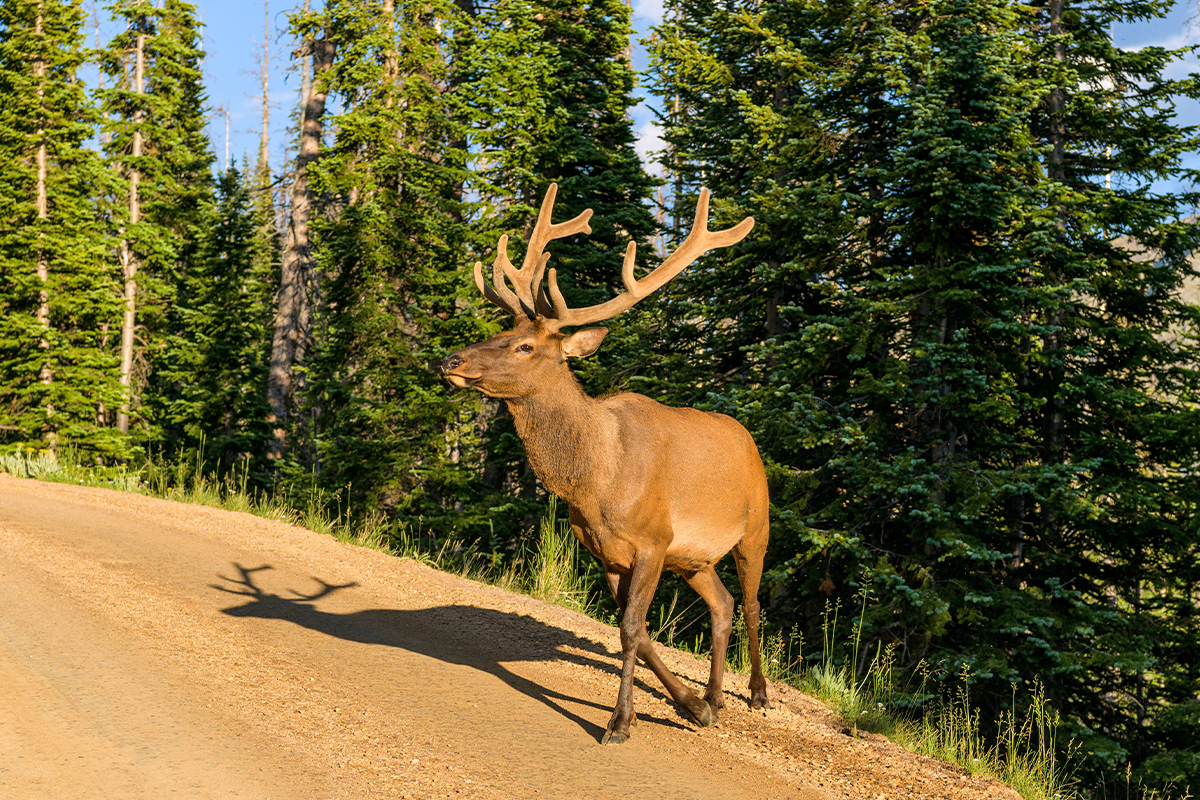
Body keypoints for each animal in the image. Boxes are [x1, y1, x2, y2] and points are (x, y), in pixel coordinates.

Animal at [441, 183, 768, 743]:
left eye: (524, 345)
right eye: (500, 330)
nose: (451, 361)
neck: (595, 480)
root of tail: (747, 437)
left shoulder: (653, 541)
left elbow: (632, 629)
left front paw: (619, 722)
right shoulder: (607, 552)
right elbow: (634, 630)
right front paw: (687, 707)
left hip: (755, 530)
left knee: (751, 602)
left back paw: (759, 692)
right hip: (694, 558)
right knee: (722, 604)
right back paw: (714, 698)